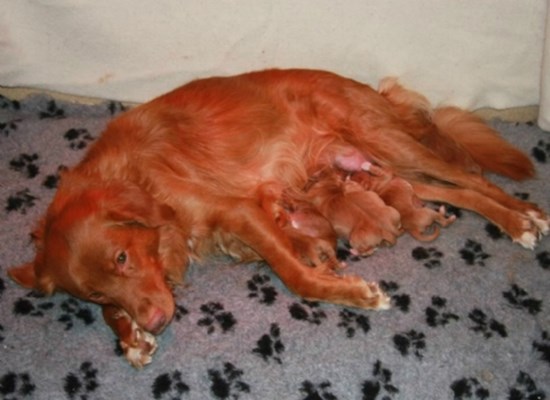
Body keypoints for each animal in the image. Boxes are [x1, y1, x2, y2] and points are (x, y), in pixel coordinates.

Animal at [6, 68, 548, 366]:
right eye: (94, 293)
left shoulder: (239, 211)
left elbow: (294, 277)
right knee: (452, 191)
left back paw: (524, 218)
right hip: (381, 169)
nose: (158, 321)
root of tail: (363, 85)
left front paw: (354, 294)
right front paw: (130, 339)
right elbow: (114, 315)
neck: (134, 179)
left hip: (388, 143)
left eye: (122, 257)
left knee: (472, 178)